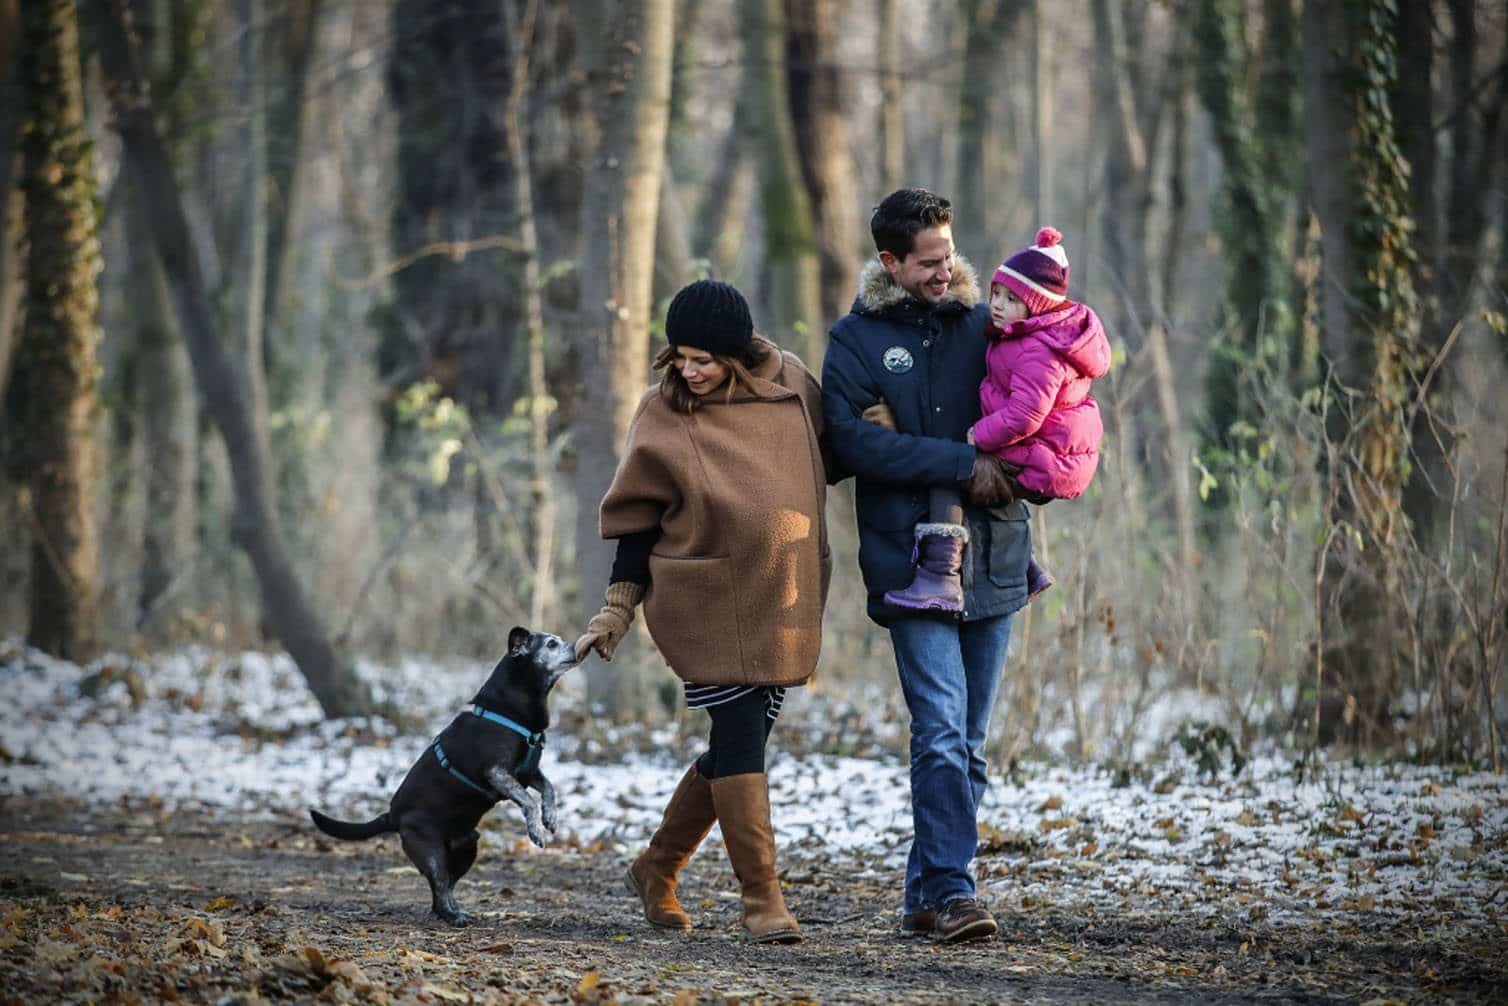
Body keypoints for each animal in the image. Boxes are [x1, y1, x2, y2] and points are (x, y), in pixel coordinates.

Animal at [310, 630, 576, 929]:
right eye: (551, 644)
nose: (576, 647)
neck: (510, 709)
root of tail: (392, 816)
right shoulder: (497, 772)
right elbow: (528, 800)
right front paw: (536, 831)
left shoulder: (527, 772)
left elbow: (549, 789)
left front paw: (550, 818)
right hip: (431, 851)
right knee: (438, 882)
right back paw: (453, 917)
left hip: (467, 846)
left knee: (446, 886)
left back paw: (454, 912)